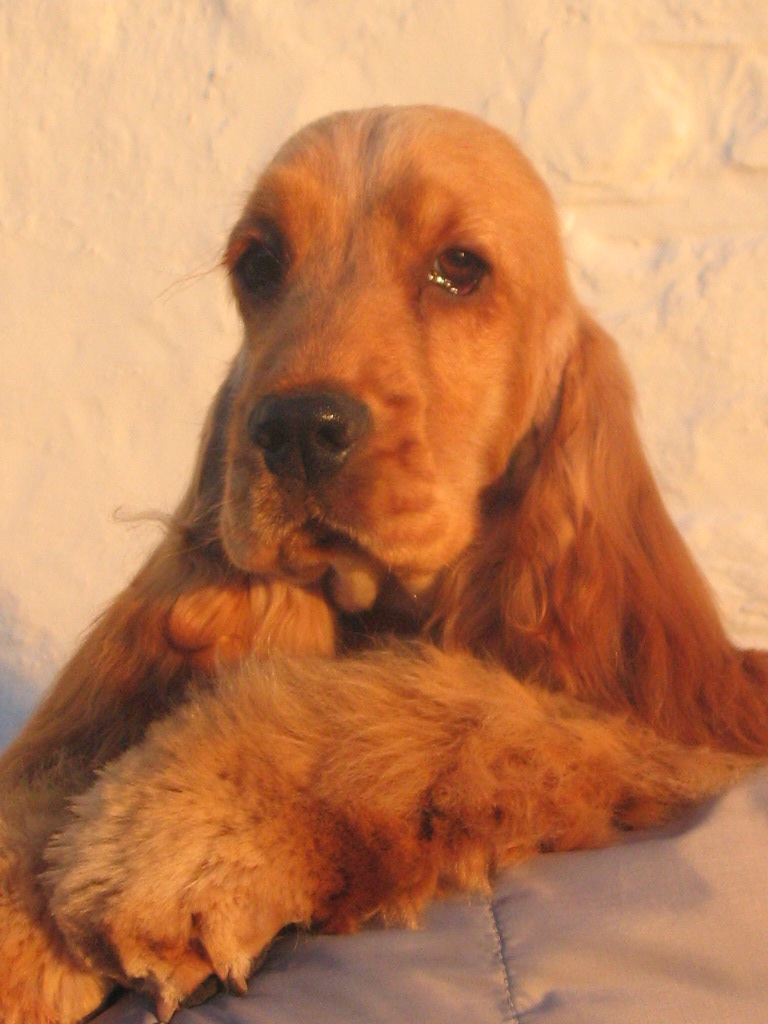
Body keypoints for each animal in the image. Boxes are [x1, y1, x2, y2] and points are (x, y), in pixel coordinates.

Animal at [1, 106, 766, 1024]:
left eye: (459, 268)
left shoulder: (664, 744)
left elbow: (466, 721)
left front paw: (176, 838)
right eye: (259, 262)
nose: (296, 429)